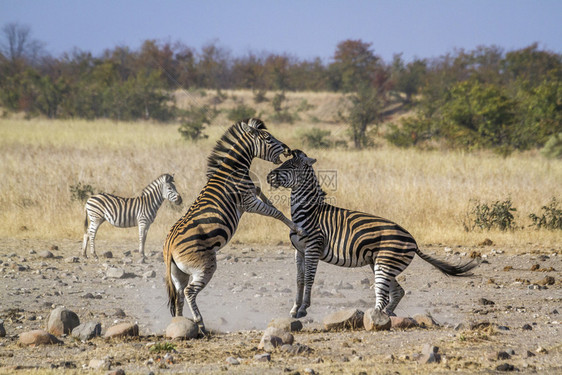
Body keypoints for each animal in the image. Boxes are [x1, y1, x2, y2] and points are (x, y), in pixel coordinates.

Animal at [162, 118, 302, 334]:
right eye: (268, 138)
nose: (288, 149)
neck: (233, 169)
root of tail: (169, 244)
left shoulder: (252, 194)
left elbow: (267, 199)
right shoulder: (248, 203)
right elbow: (275, 212)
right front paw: (296, 227)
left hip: (179, 273)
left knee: (178, 295)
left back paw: (180, 323)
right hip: (205, 266)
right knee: (189, 291)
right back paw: (200, 323)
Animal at [266, 151, 476, 322]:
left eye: (292, 166)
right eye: (284, 163)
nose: (269, 176)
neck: (308, 212)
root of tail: (414, 241)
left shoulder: (313, 248)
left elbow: (309, 279)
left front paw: (303, 309)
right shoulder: (299, 251)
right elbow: (299, 280)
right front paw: (294, 309)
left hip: (384, 264)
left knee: (382, 297)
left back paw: (373, 319)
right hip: (382, 264)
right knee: (398, 292)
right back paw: (387, 315)